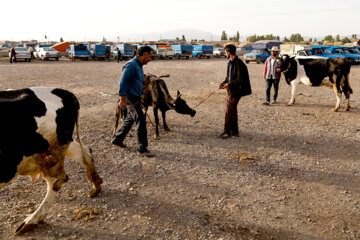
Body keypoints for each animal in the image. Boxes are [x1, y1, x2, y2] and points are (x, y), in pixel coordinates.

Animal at [0, 86, 102, 234]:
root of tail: (62, 91)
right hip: (60, 145)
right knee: (85, 152)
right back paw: (96, 186)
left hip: (49, 154)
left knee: (56, 181)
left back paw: (30, 221)